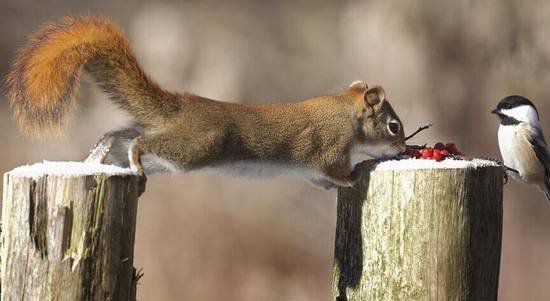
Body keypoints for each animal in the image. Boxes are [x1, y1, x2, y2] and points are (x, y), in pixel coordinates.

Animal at [6, 15, 408, 188]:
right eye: (394, 126)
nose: (404, 148)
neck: (344, 111)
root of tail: (181, 106)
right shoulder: (329, 148)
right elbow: (337, 170)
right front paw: (357, 173)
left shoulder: (312, 172)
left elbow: (323, 182)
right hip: (196, 146)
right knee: (140, 142)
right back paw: (129, 158)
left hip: (168, 154)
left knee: (118, 136)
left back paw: (97, 158)